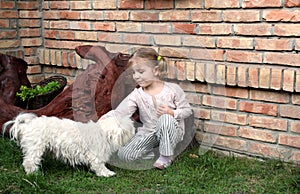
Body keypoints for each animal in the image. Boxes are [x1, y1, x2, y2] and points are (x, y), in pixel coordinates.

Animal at [2, 112, 135, 177]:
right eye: (129, 128)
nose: (135, 130)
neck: (103, 133)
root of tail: (26, 125)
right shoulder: (96, 155)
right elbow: (99, 166)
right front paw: (107, 173)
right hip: (35, 147)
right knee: (29, 162)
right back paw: (33, 174)